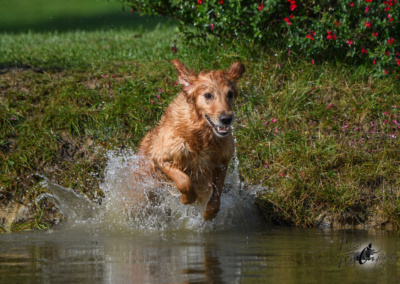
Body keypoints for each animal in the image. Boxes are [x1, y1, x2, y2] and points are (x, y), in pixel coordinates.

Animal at [137, 59, 244, 220]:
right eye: (208, 95)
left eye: (230, 94)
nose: (226, 119)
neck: (202, 135)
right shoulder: (160, 157)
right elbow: (184, 181)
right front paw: (186, 198)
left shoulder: (221, 162)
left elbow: (216, 198)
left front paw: (207, 214)